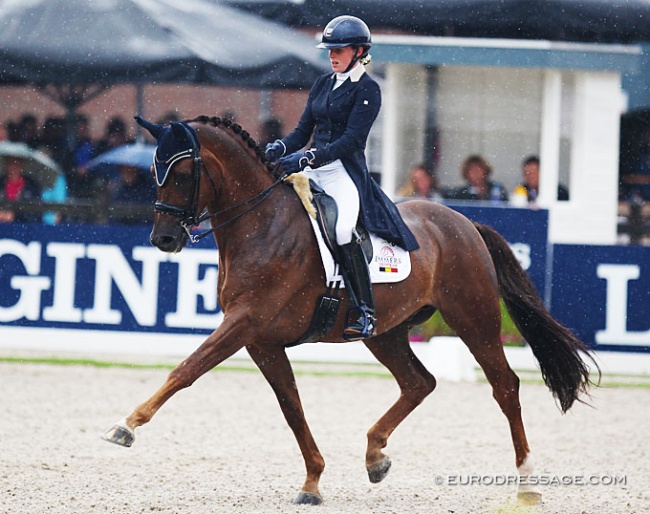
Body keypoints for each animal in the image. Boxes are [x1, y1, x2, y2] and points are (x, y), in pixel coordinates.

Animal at [102, 115, 596, 504]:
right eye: (154, 171)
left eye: (184, 174)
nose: (164, 240)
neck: (261, 225)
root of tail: (464, 222)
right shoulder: (262, 340)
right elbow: (292, 407)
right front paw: (312, 483)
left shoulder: (244, 322)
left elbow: (187, 369)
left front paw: (126, 426)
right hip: (387, 332)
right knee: (419, 382)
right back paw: (376, 456)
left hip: (473, 318)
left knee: (505, 386)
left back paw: (527, 482)